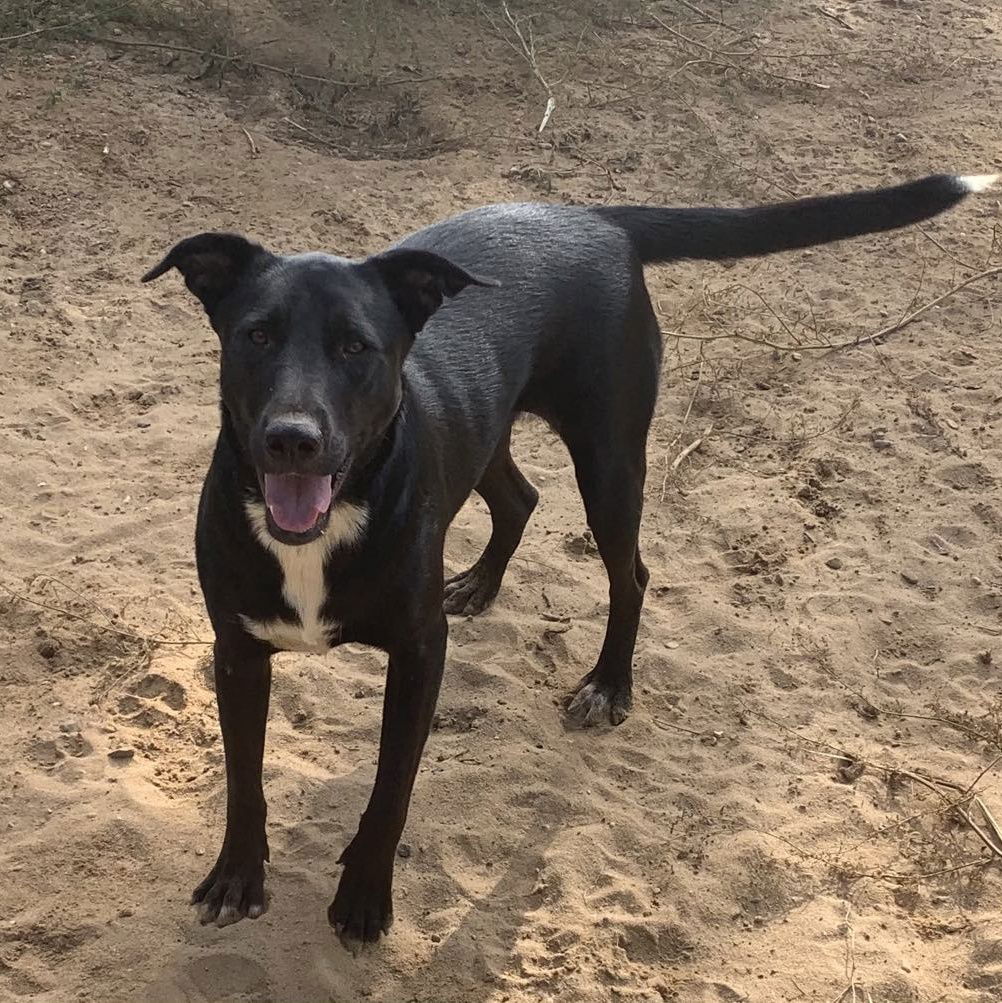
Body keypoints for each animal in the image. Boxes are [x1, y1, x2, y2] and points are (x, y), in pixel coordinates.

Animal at [141, 170, 994, 946]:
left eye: (356, 346)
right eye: (256, 335)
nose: (293, 438)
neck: (323, 530)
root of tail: (591, 215)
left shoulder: (418, 654)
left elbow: (390, 788)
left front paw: (363, 897)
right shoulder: (236, 650)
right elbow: (245, 778)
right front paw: (237, 875)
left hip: (611, 457)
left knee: (632, 572)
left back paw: (609, 683)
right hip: (493, 428)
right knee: (520, 497)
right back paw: (479, 584)